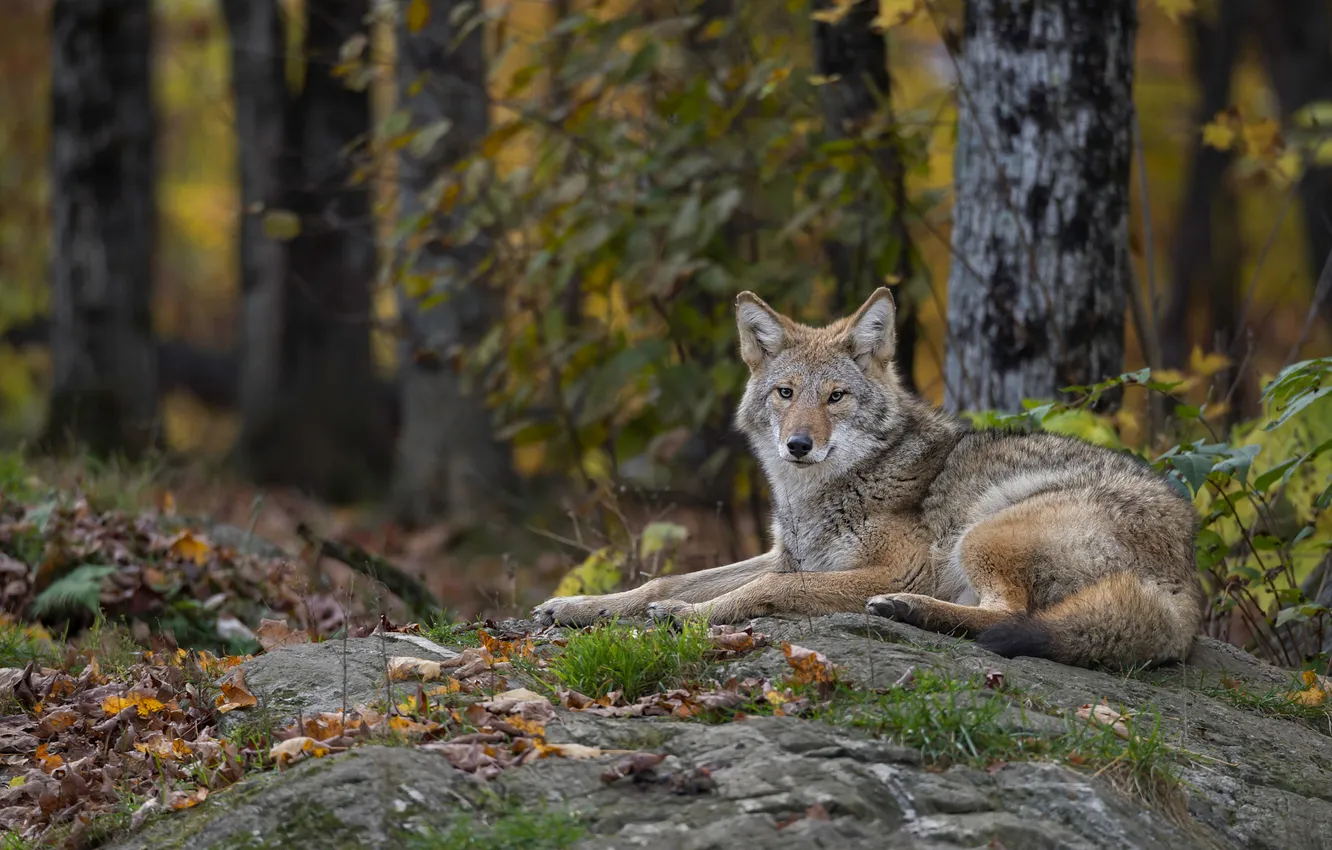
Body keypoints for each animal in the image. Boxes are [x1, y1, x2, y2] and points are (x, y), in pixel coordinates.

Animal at [532, 288, 1205, 668]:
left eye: (836, 397)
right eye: (786, 393)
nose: (798, 445)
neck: (818, 495)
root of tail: (1187, 589)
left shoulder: (882, 568)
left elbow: (764, 592)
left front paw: (689, 616)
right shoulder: (786, 555)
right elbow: (663, 579)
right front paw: (581, 607)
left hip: (984, 534)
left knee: (1006, 616)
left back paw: (908, 609)